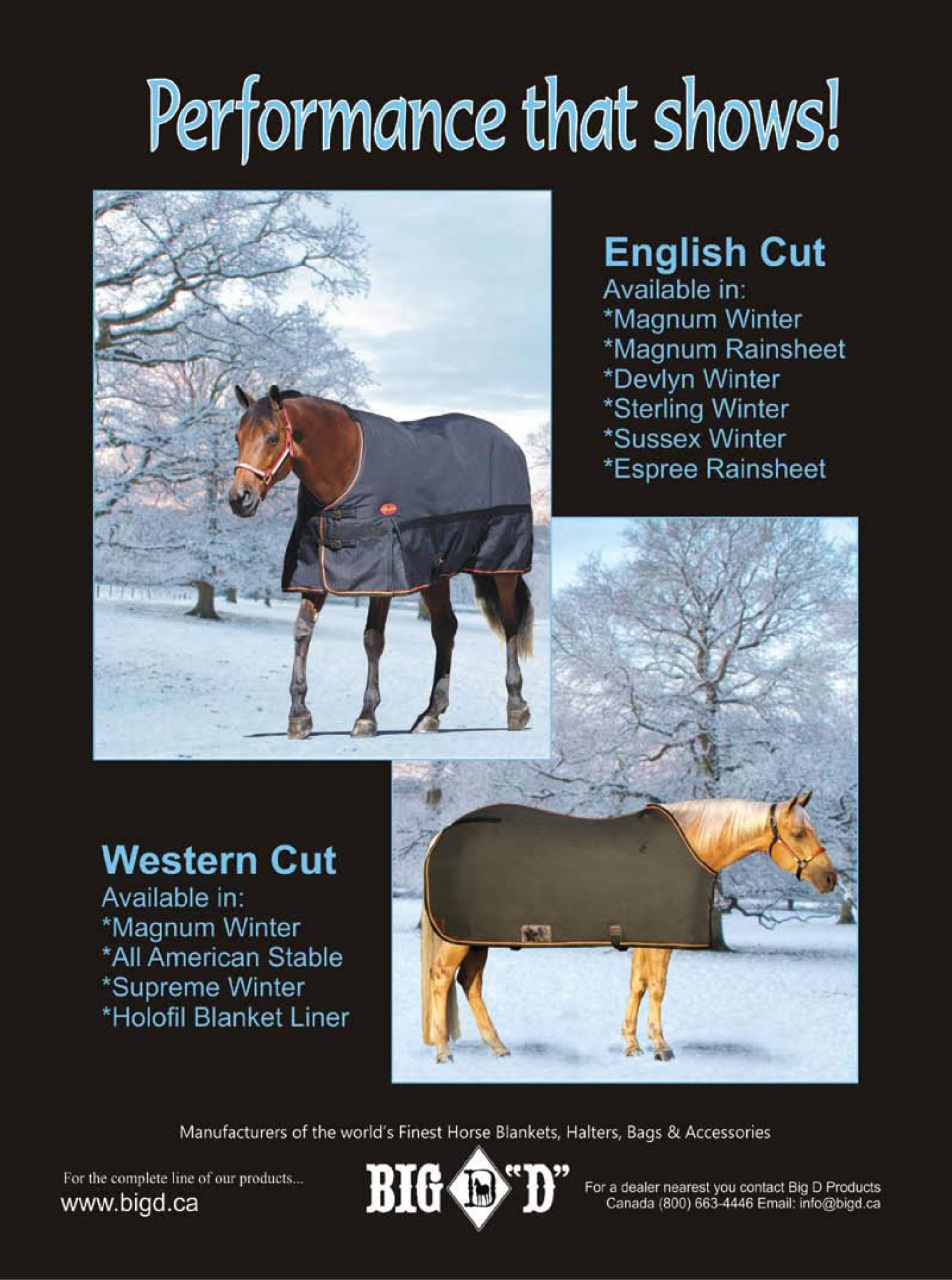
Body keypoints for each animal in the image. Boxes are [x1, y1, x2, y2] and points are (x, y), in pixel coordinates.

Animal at [228, 386, 534, 739]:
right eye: (237, 437)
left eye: (273, 437)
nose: (239, 498)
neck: (345, 469)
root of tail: (510, 444)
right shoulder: (317, 571)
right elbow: (303, 631)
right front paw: (299, 716)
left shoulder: (381, 574)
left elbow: (373, 640)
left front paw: (366, 717)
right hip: (436, 570)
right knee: (445, 629)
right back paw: (430, 715)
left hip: (502, 566)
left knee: (510, 623)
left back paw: (516, 708)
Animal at [420, 791, 838, 1063]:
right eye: (799, 833)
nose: (830, 878)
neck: (696, 844)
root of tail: (441, 834)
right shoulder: (660, 939)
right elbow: (657, 988)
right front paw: (661, 1047)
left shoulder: (643, 935)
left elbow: (638, 985)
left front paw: (632, 1045)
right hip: (459, 939)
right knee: (441, 978)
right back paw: (443, 1051)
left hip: (475, 938)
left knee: (470, 984)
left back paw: (498, 1047)